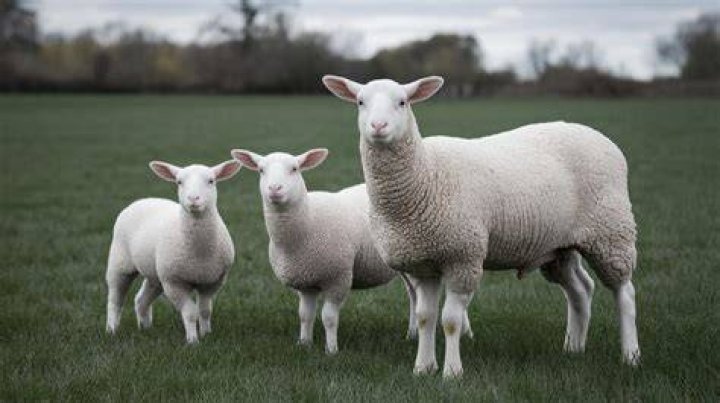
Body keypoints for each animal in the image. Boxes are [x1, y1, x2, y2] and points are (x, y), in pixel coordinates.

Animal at [105, 159, 241, 344]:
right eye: (179, 182)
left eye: (211, 181)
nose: (193, 198)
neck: (200, 252)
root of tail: (143, 199)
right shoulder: (174, 283)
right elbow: (190, 313)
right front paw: (193, 341)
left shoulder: (212, 281)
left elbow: (205, 310)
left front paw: (206, 334)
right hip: (120, 263)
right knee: (115, 299)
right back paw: (111, 330)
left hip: (156, 275)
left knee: (141, 299)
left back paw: (145, 328)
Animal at [230, 148, 441, 354]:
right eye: (261, 170)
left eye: (294, 169)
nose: (274, 189)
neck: (308, 220)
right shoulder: (305, 282)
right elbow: (305, 315)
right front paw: (304, 344)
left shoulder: (338, 278)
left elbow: (329, 317)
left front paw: (331, 350)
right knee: (413, 296)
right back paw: (412, 334)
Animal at [322, 75, 640, 377]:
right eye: (360, 102)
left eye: (403, 102)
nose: (378, 126)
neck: (426, 174)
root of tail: (600, 137)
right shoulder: (423, 263)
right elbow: (425, 317)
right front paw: (423, 367)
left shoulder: (463, 256)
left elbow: (450, 320)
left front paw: (452, 372)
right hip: (560, 246)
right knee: (580, 290)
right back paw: (574, 348)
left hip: (611, 232)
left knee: (624, 293)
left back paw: (630, 355)